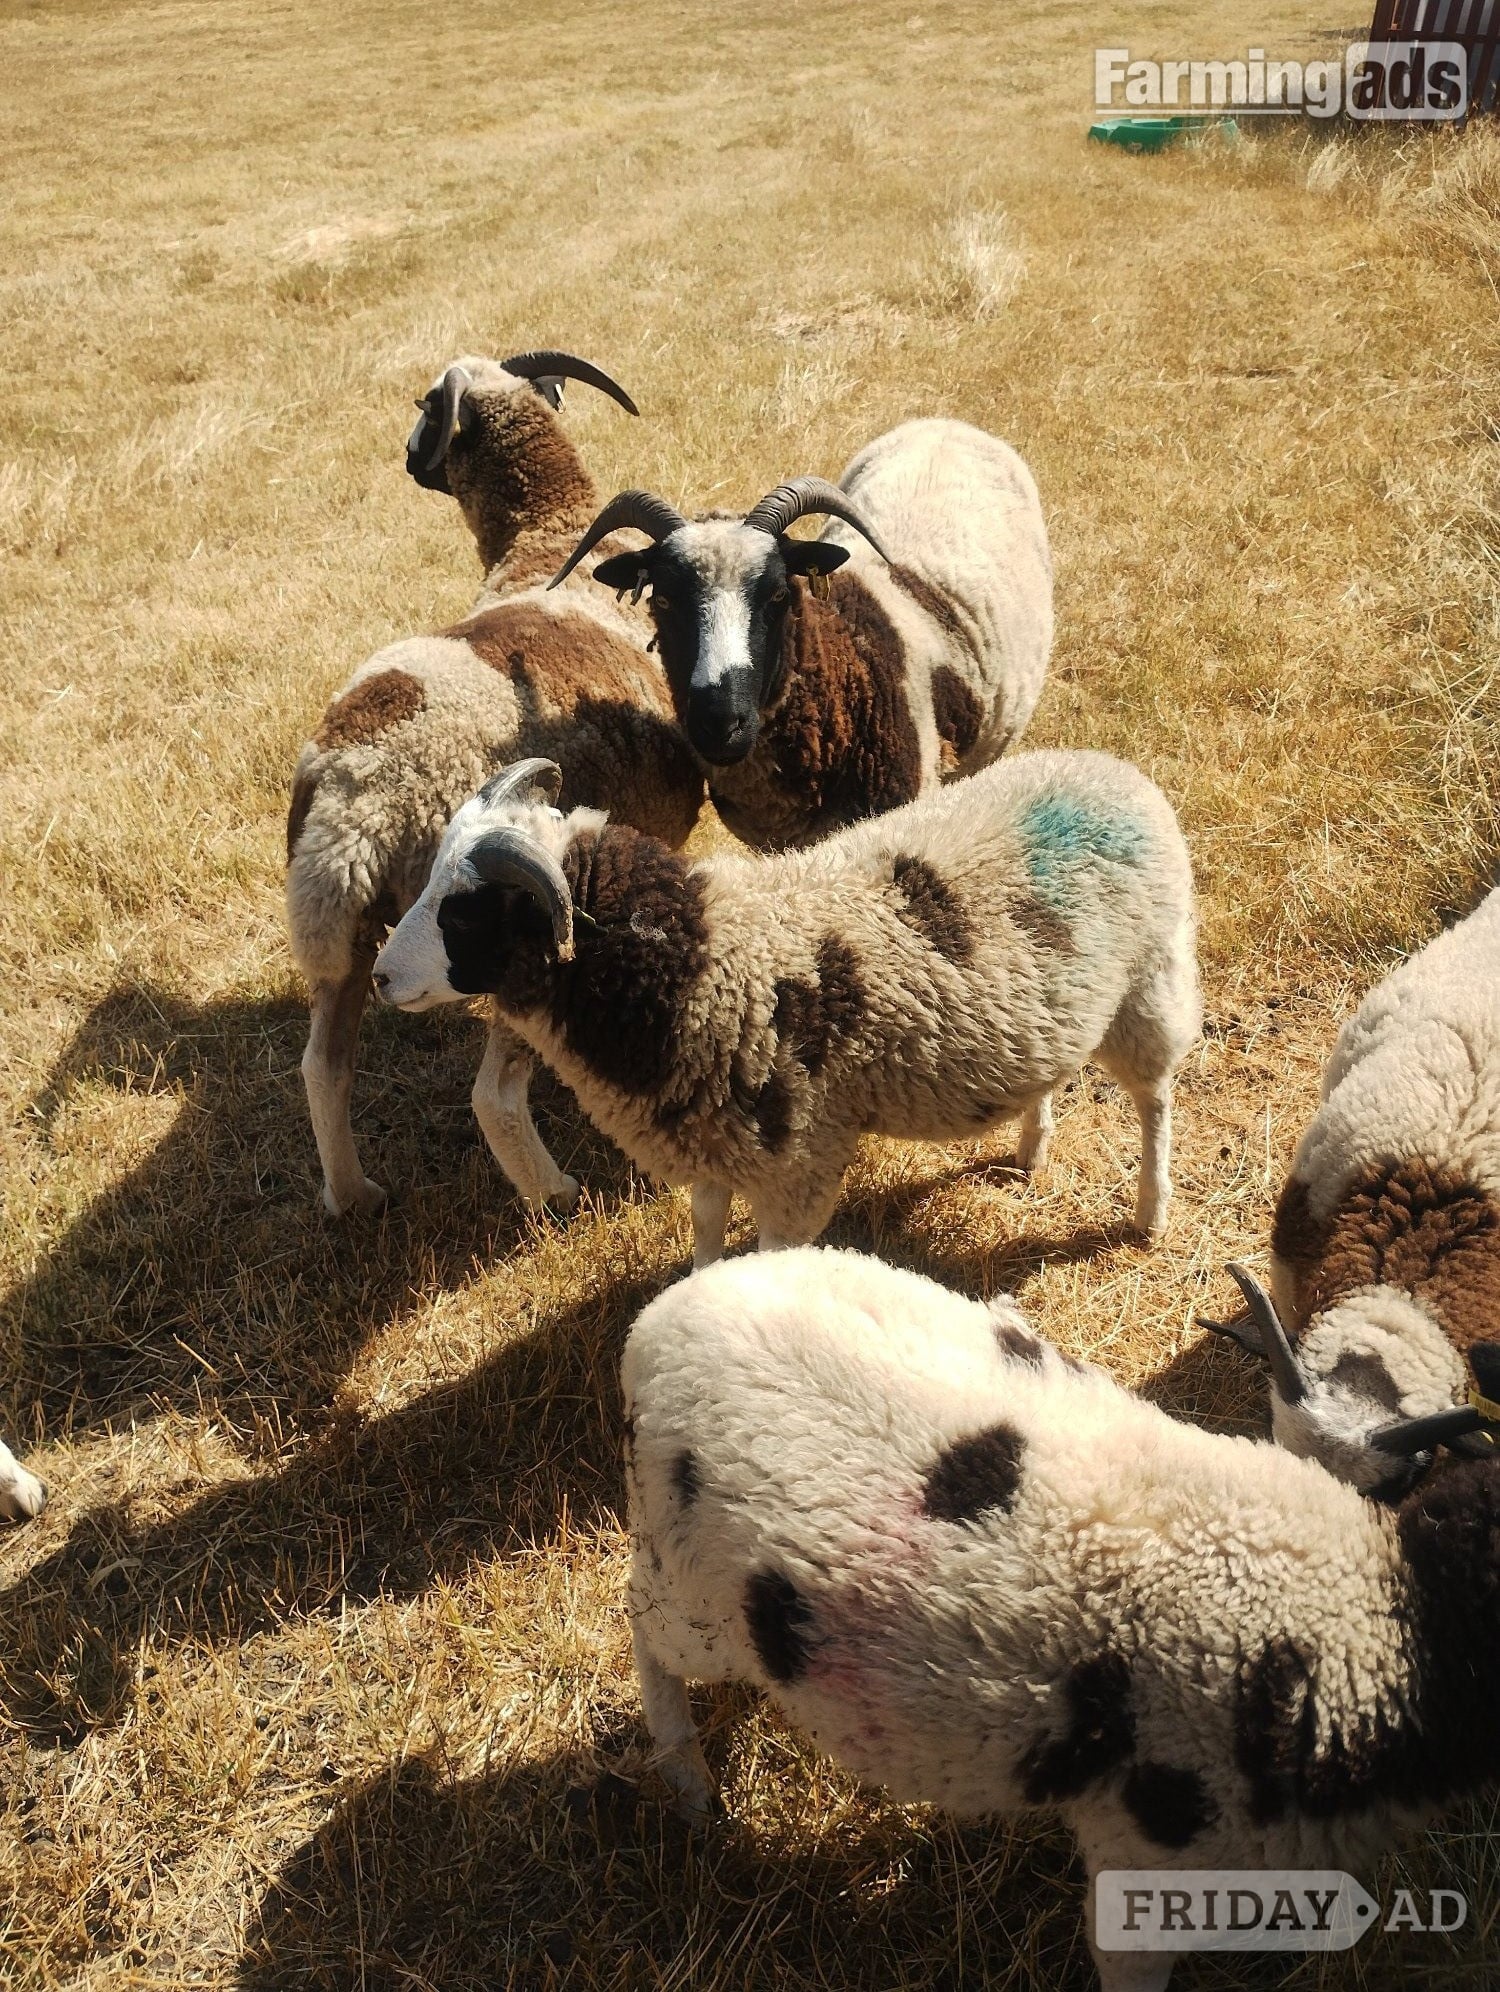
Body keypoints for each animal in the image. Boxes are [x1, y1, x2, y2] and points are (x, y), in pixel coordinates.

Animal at [286, 348, 705, 1216]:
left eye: (423, 407)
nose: (406, 457)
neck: (549, 539)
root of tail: (357, 794)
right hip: (504, 924)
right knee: (495, 1096)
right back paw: (557, 1195)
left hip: (349, 936)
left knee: (323, 1066)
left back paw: (354, 1196)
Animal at [370, 745, 1201, 1255]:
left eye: (465, 912)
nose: (378, 977)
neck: (701, 953)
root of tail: (1116, 772)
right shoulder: (709, 1141)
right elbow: (706, 1237)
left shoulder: (797, 1161)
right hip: (1061, 1003)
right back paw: (1031, 1150)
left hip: (1150, 981)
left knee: (1155, 1098)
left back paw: (1150, 1213)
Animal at [622, 1245, 1500, 1992]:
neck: (1380, 1623)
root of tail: (661, 1317)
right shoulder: (1153, 1854)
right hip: (693, 1588)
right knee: (644, 1629)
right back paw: (690, 1784)